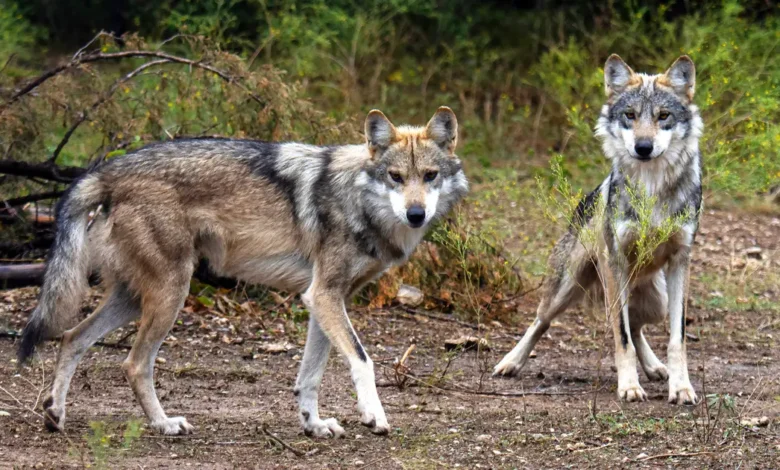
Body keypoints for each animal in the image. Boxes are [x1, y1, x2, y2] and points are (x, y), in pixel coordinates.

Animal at [18, 107, 468, 437]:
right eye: (396, 177)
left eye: (430, 176)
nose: (416, 214)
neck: (356, 198)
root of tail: (106, 170)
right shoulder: (324, 295)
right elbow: (362, 360)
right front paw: (374, 417)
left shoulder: (325, 299)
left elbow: (310, 376)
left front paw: (314, 425)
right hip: (170, 294)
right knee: (133, 363)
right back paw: (164, 424)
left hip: (134, 298)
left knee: (71, 337)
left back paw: (55, 415)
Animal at [494, 55, 702, 405]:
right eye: (630, 115)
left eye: (663, 116)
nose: (643, 147)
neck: (651, 186)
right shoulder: (614, 262)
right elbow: (621, 336)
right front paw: (629, 386)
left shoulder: (680, 261)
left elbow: (677, 339)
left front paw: (681, 387)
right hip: (570, 287)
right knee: (542, 320)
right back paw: (511, 362)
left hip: (655, 300)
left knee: (637, 324)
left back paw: (655, 368)